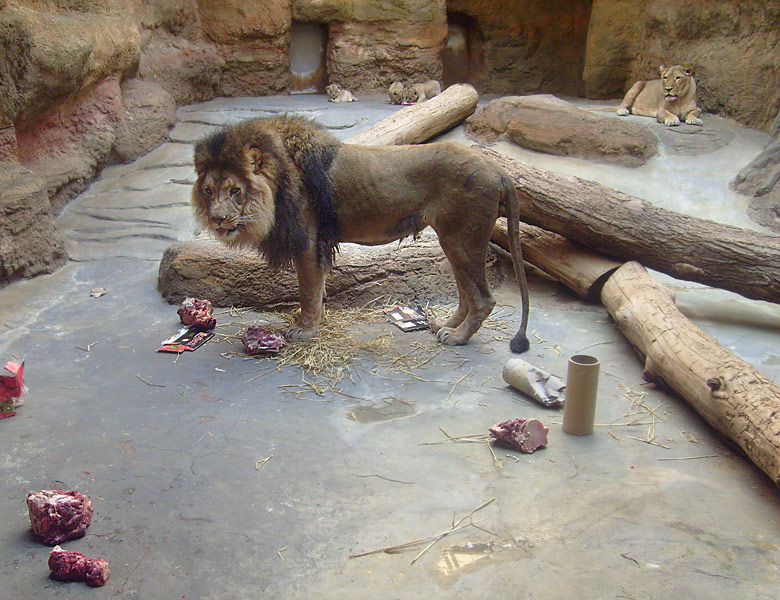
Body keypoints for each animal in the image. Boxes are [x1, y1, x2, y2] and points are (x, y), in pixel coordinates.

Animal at [191, 115, 532, 354]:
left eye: (235, 190)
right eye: (208, 190)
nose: (217, 219)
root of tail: (496, 168)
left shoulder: (308, 241)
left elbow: (308, 290)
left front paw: (305, 330)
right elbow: (319, 287)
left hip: (462, 238)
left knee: (483, 298)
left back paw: (457, 337)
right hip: (454, 240)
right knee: (466, 293)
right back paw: (443, 325)